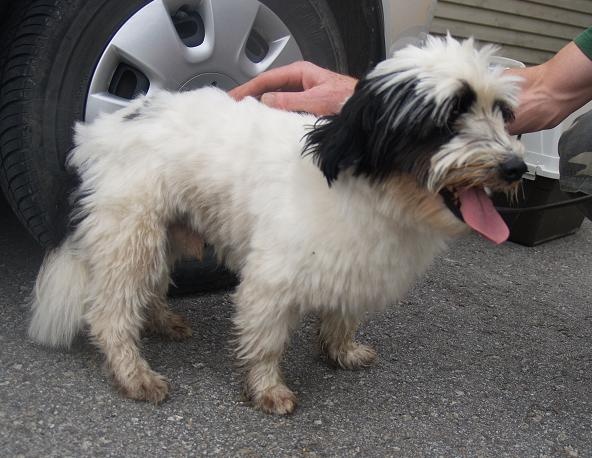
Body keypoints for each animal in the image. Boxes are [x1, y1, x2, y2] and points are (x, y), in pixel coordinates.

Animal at [29, 35, 526, 414]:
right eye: (448, 119)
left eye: (502, 113)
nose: (516, 168)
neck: (369, 192)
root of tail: (102, 129)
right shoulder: (270, 282)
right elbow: (266, 340)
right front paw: (267, 388)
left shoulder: (356, 268)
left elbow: (342, 318)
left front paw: (341, 351)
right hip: (131, 233)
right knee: (110, 312)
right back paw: (134, 374)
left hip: (163, 232)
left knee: (148, 287)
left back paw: (161, 321)